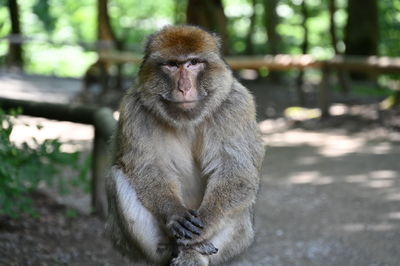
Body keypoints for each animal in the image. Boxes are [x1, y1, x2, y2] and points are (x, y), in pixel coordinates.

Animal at [105, 25, 266, 266]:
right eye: (172, 65)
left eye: (193, 63)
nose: (184, 88)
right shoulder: (133, 108)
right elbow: (147, 168)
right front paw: (174, 214)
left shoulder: (236, 104)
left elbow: (236, 170)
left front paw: (205, 224)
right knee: (117, 176)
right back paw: (172, 246)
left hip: (240, 242)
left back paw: (196, 248)